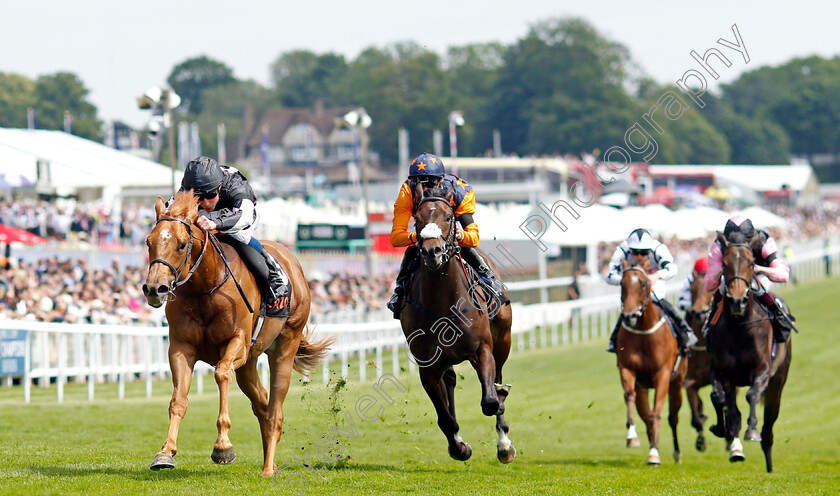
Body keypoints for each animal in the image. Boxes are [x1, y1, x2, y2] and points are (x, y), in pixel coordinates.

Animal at [141, 193, 332, 476]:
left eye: (182, 244)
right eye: (149, 241)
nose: (155, 288)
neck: (206, 287)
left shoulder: (237, 342)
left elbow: (221, 373)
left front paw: (223, 446)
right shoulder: (181, 347)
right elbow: (178, 399)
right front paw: (165, 452)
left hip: (285, 344)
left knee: (275, 410)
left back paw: (268, 470)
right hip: (248, 364)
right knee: (262, 405)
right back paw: (270, 462)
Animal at [398, 183, 516, 464]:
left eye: (449, 217)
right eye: (418, 219)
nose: (432, 251)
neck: (442, 302)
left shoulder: (482, 350)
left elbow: (490, 402)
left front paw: (503, 444)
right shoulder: (427, 366)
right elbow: (445, 417)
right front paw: (459, 447)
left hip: (503, 341)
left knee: (498, 383)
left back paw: (504, 440)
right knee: (450, 382)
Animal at [612, 260, 684, 464]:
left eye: (644, 284)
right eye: (622, 284)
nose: (629, 316)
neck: (644, 331)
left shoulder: (663, 375)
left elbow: (656, 414)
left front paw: (653, 453)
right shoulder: (627, 369)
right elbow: (629, 396)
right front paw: (632, 437)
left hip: (677, 382)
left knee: (672, 417)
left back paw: (676, 452)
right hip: (643, 387)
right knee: (645, 415)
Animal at [708, 232, 796, 472]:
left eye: (750, 263)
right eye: (724, 264)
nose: (737, 301)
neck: (740, 327)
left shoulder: (762, 369)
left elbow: (752, 395)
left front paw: (752, 430)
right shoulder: (723, 373)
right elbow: (725, 404)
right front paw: (731, 443)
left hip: (778, 384)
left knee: (769, 428)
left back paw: (769, 466)